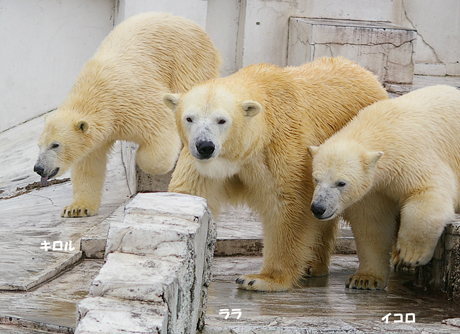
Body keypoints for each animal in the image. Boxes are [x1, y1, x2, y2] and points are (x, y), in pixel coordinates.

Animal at [34, 12, 221, 217]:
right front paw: (77, 208)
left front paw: (142, 158)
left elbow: (161, 125)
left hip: (188, 60)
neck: (96, 93)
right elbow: (88, 165)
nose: (38, 168)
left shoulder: (131, 100)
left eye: (55, 145)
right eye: (39, 145)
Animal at [164, 56, 386, 290]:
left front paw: (260, 279)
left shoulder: (280, 149)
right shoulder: (201, 165)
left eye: (221, 120)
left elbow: (288, 206)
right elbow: (193, 193)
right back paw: (312, 265)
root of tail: (368, 75)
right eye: (189, 118)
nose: (205, 146)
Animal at [308, 85, 460, 290]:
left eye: (341, 183)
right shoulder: (374, 189)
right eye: (316, 179)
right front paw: (364, 279)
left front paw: (411, 254)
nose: (318, 208)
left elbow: (426, 192)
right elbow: (373, 223)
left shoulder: (412, 157)